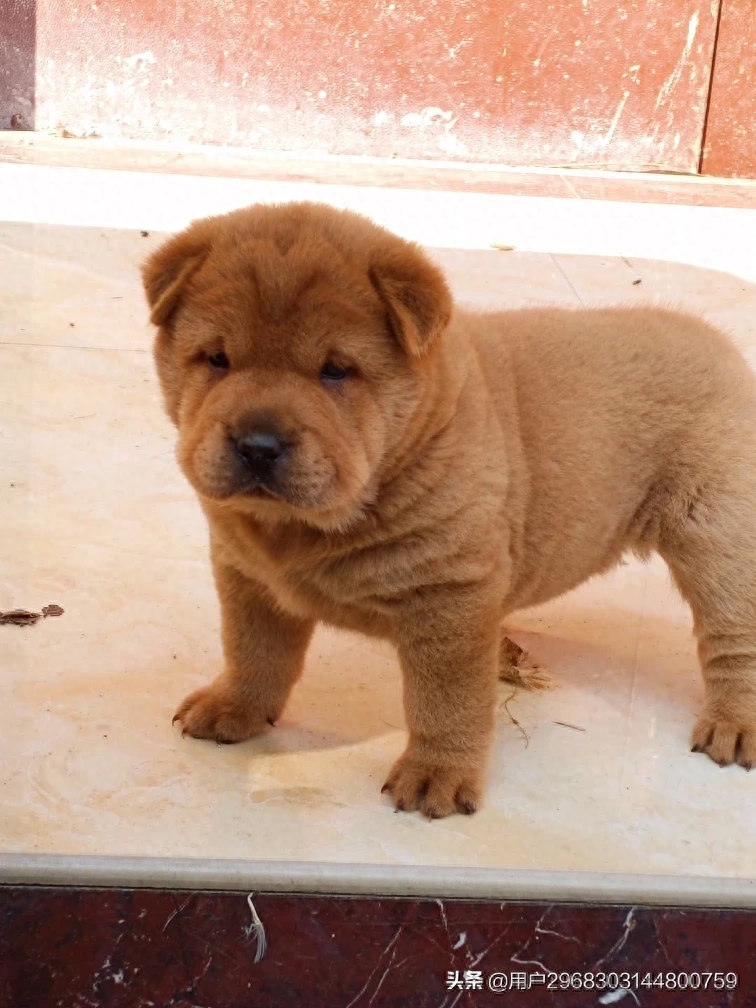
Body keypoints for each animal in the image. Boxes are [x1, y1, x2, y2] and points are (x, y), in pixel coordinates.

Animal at [143, 202, 756, 818]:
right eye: (217, 359)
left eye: (336, 370)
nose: (258, 444)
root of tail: (720, 343)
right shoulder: (248, 576)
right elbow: (254, 651)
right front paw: (234, 708)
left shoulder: (447, 596)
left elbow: (446, 700)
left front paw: (435, 775)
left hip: (718, 537)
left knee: (734, 633)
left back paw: (735, 724)